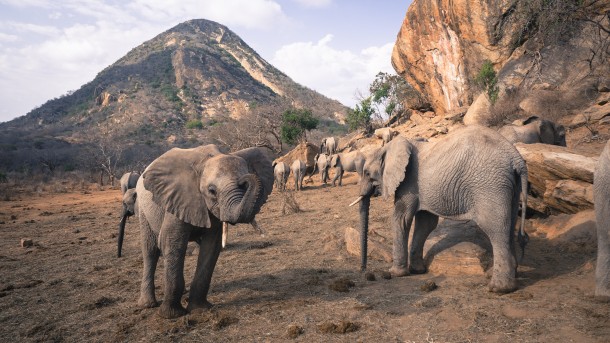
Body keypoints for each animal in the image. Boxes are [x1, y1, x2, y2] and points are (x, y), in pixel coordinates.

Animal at [135, 146, 274, 320]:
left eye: (243, 187)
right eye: (212, 191)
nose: (245, 179)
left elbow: (211, 246)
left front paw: (199, 310)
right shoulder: (178, 198)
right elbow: (171, 243)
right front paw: (171, 315)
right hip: (143, 208)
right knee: (150, 250)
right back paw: (147, 304)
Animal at [350, 127, 528, 294]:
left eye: (367, 173)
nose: (363, 270)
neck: (389, 147)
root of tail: (516, 158)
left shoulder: (408, 183)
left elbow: (401, 218)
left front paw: (395, 273)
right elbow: (425, 223)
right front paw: (417, 270)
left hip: (490, 185)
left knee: (496, 229)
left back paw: (499, 288)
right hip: (510, 186)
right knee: (510, 224)